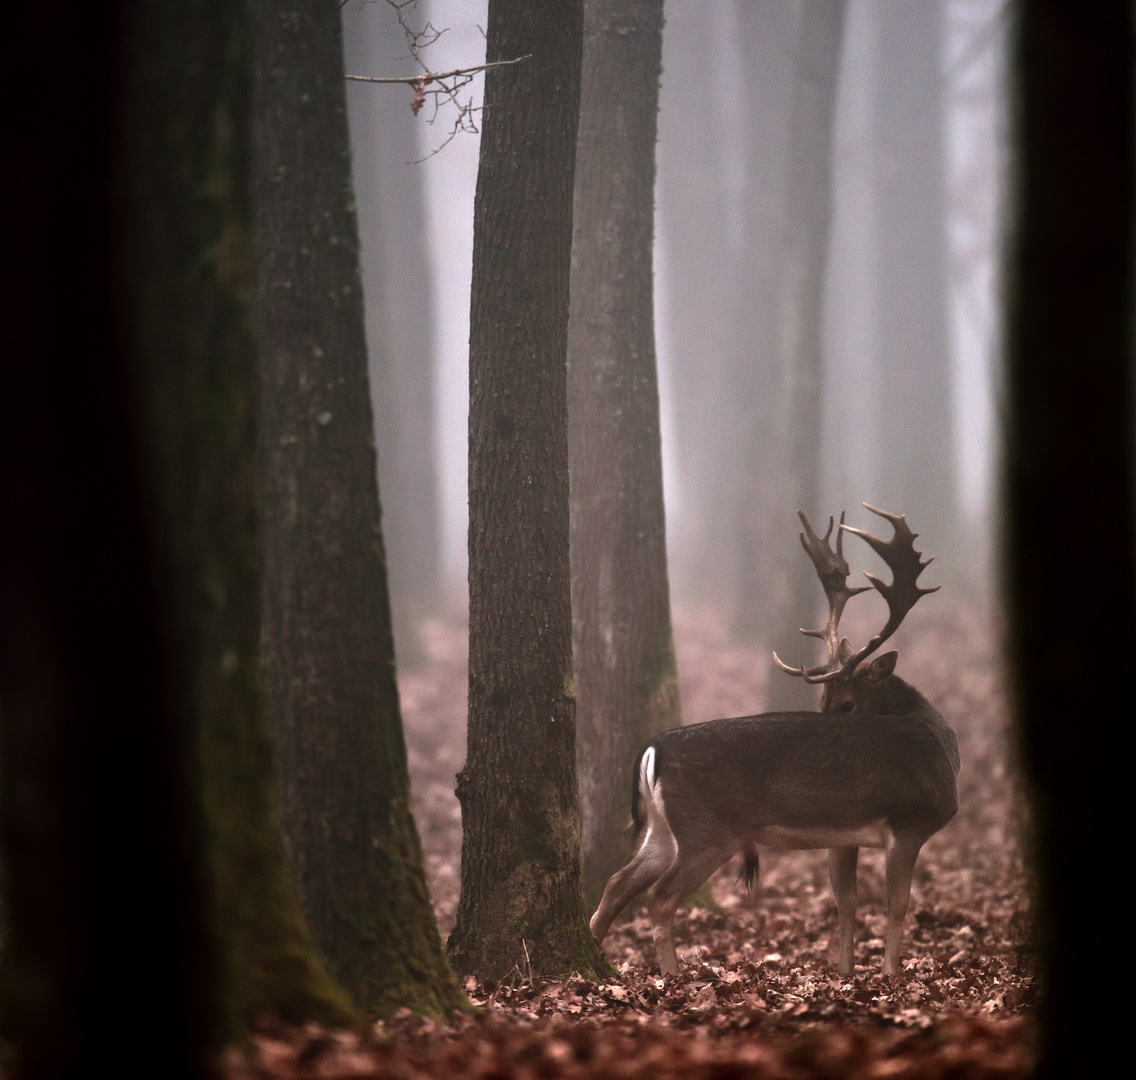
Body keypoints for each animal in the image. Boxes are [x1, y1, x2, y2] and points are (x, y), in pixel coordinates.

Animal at [595, 506, 958, 981]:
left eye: (842, 702)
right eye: (830, 702)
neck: (938, 743)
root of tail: (652, 749)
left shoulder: (845, 836)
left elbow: (846, 902)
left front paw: (846, 973)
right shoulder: (907, 822)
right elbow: (897, 904)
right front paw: (889, 975)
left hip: (661, 827)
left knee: (617, 882)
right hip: (707, 828)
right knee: (659, 898)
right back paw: (672, 976)